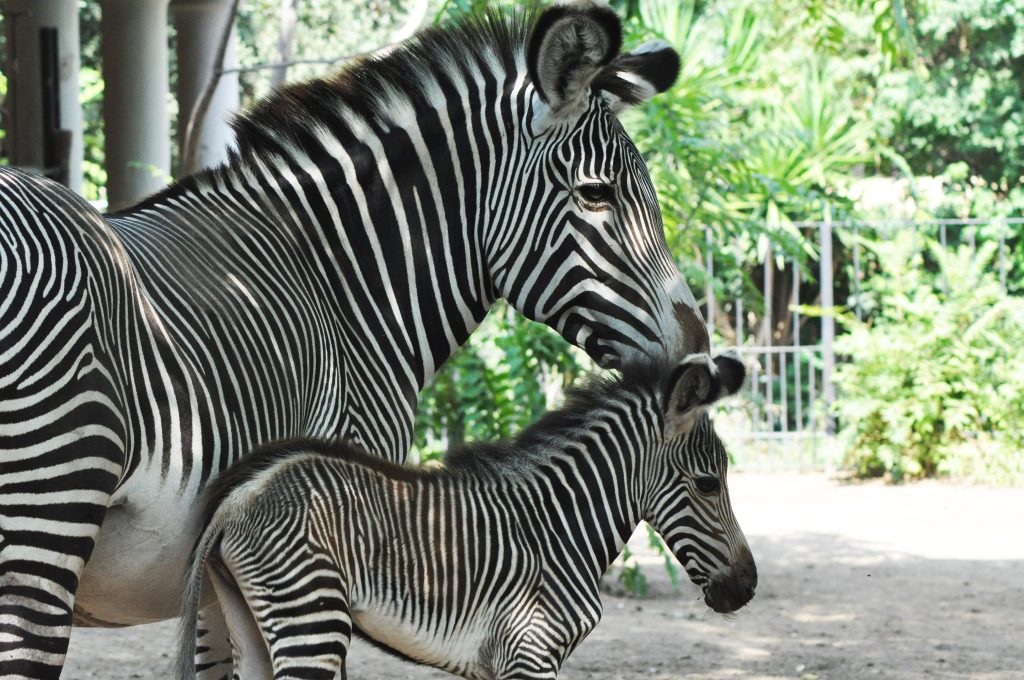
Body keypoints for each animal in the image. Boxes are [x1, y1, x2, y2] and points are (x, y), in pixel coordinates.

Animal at [177, 352, 755, 680]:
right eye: (708, 484)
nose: (746, 588)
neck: (559, 526)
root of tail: (244, 490)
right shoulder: (531, 653)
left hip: (251, 620)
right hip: (311, 617)